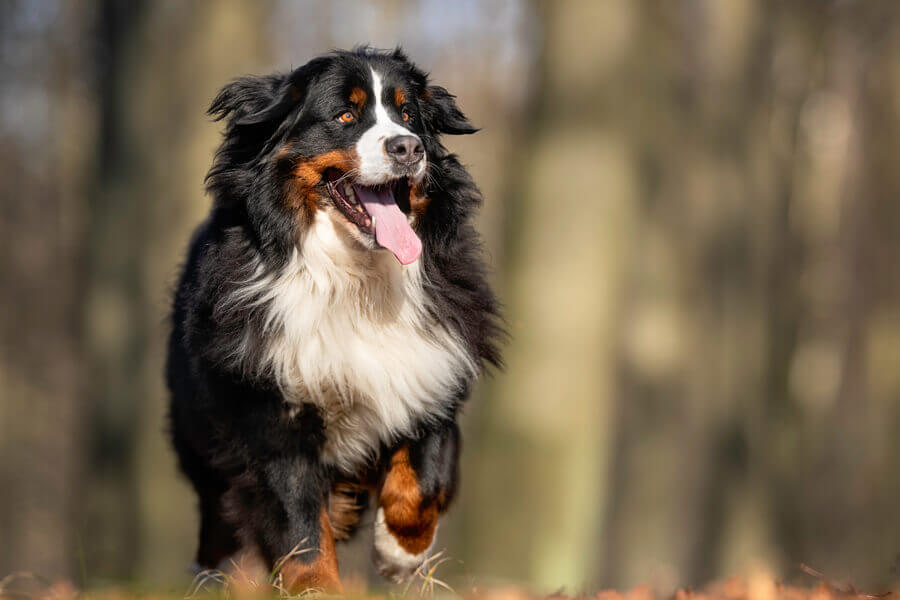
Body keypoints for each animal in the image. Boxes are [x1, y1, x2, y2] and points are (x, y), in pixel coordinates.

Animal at [167, 47, 506, 592]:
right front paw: (317, 588)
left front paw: (398, 553)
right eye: (345, 116)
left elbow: (423, 481)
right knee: (219, 523)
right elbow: (300, 526)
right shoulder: (270, 408)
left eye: (409, 115)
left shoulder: (433, 371)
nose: (408, 148)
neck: (356, 280)